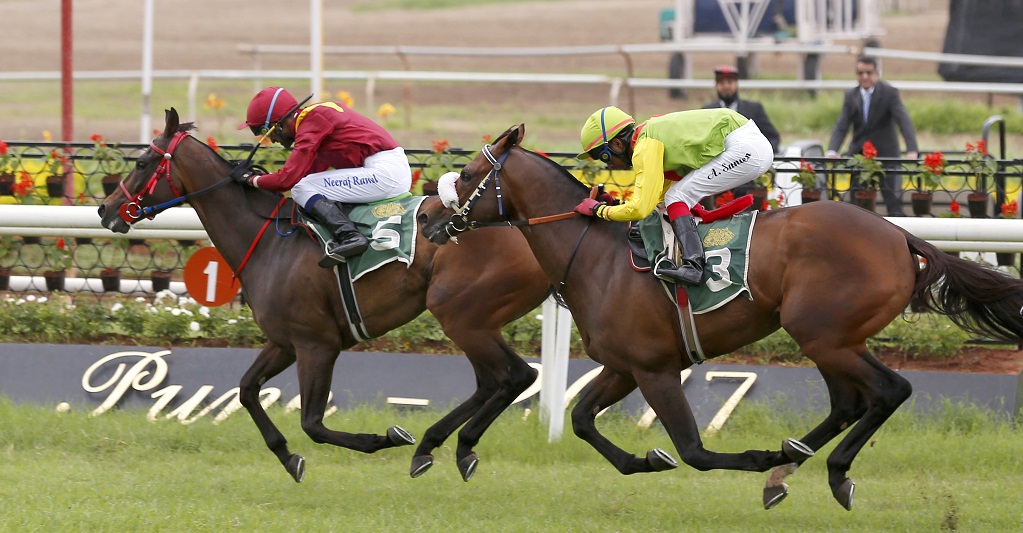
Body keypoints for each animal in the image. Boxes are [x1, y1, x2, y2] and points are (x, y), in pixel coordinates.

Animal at [97, 109, 552, 484]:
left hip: (461, 315)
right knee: (489, 382)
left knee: (515, 375)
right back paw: (433, 445)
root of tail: (524, 225)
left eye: (141, 162)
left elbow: (313, 424)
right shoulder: (285, 341)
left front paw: (384, 438)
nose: (105, 209)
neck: (267, 242)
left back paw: (453, 446)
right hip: (473, 321)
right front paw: (287, 457)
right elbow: (246, 390)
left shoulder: (317, 343)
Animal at [417, 122, 1023, 509]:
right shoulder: (624, 366)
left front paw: (752, 455)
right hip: (831, 339)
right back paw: (789, 465)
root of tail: (899, 236)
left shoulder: (656, 369)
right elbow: (584, 419)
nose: (425, 218)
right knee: (851, 402)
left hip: (824, 335)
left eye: (467, 175)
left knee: (890, 391)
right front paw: (646, 461)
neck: (595, 256)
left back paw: (822, 471)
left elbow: (694, 450)